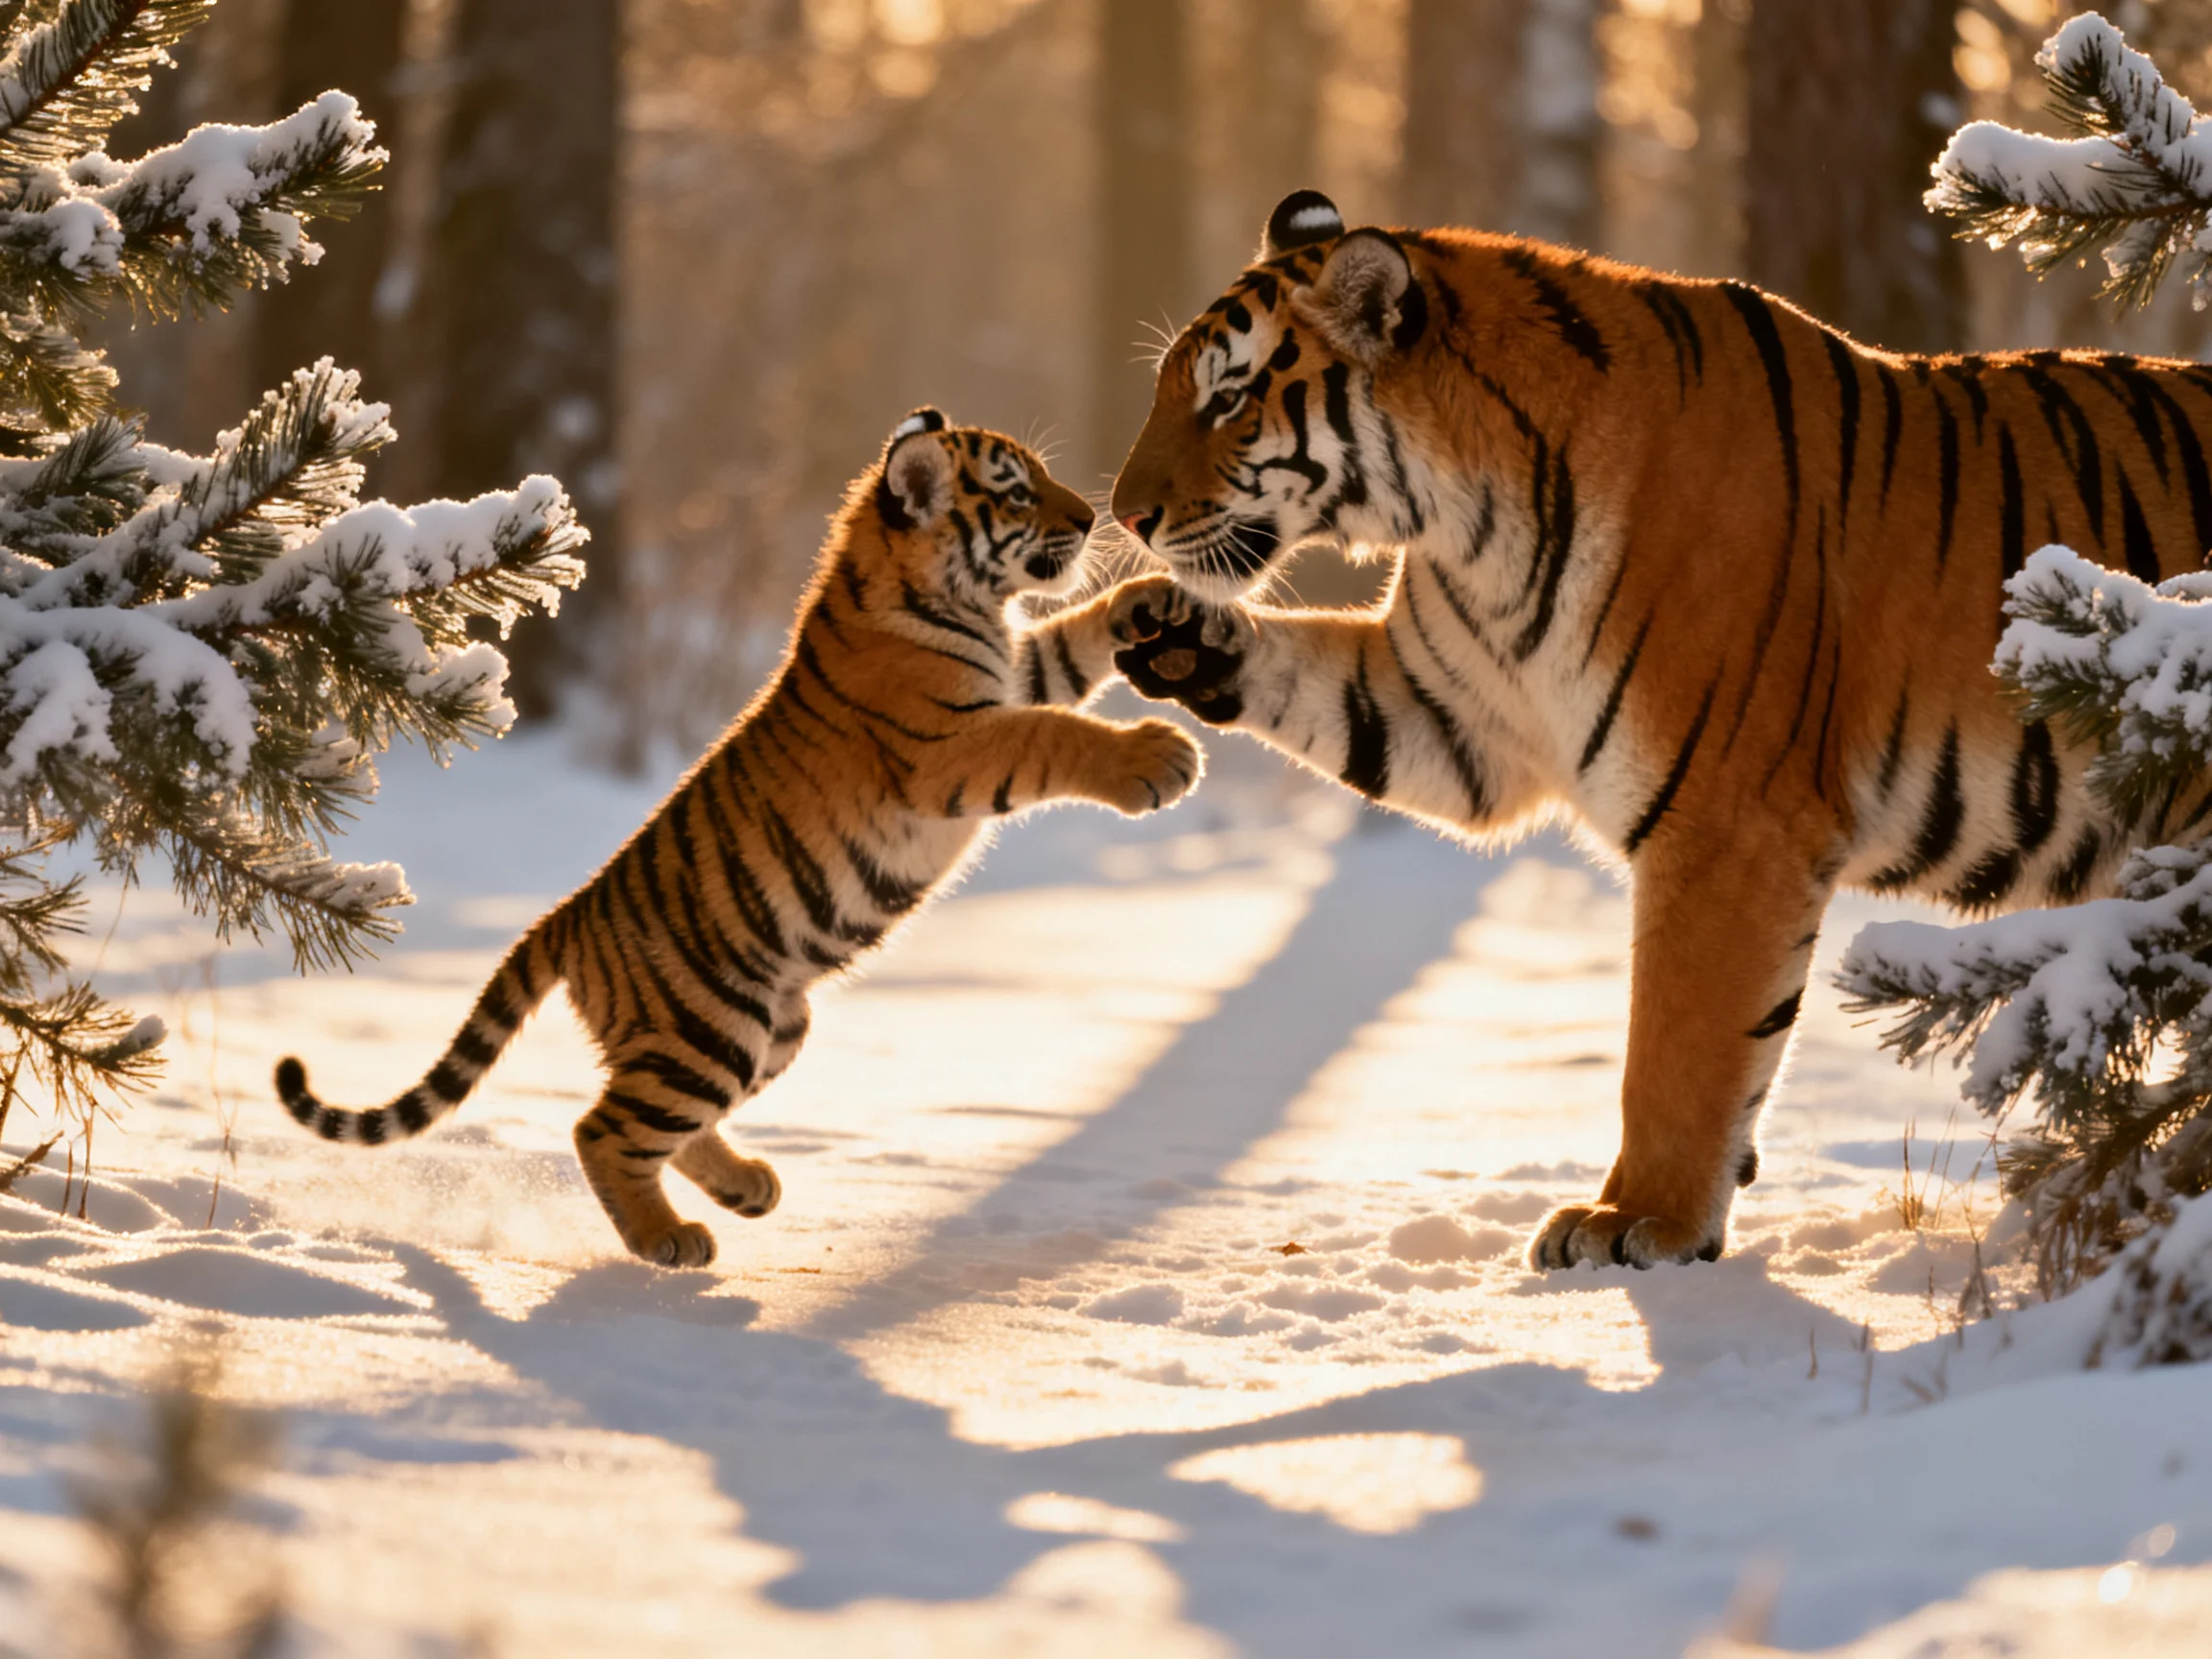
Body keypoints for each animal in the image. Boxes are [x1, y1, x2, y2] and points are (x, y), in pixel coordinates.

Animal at [275, 409, 1202, 1268]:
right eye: (1015, 492)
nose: (1090, 517)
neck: (954, 599)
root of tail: (568, 917)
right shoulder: (951, 746)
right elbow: (1055, 734)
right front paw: (1157, 758)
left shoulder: (1013, 676)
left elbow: (1066, 648)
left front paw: (1147, 599)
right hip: (708, 1030)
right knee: (601, 1129)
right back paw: (668, 1238)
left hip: (772, 1029)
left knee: (666, 1126)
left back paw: (747, 1187)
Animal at [1093, 187, 2212, 1271]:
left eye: (1229, 398)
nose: (1127, 517)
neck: (1466, 527)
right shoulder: (1450, 715)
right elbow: (1313, 681)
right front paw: (1170, 631)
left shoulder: (1725, 821)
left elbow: (1678, 1048)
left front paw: (1645, 1223)